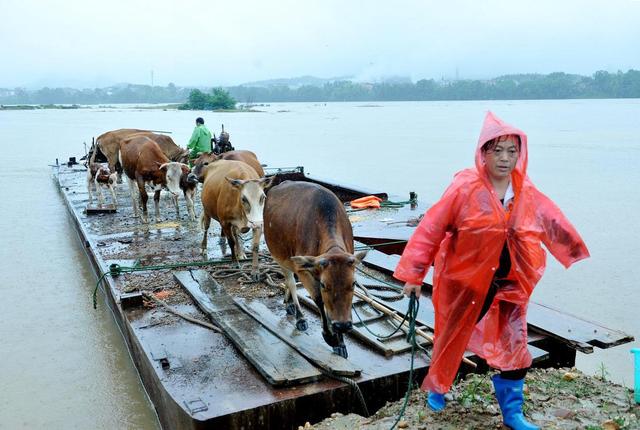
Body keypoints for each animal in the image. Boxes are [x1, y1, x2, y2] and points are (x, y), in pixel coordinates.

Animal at [264, 180, 364, 358]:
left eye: (353, 284)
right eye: (324, 285)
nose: (342, 326)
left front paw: (341, 343)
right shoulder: (303, 269)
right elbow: (318, 299)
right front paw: (330, 337)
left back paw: (289, 304)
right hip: (280, 256)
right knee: (290, 281)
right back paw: (299, 317)